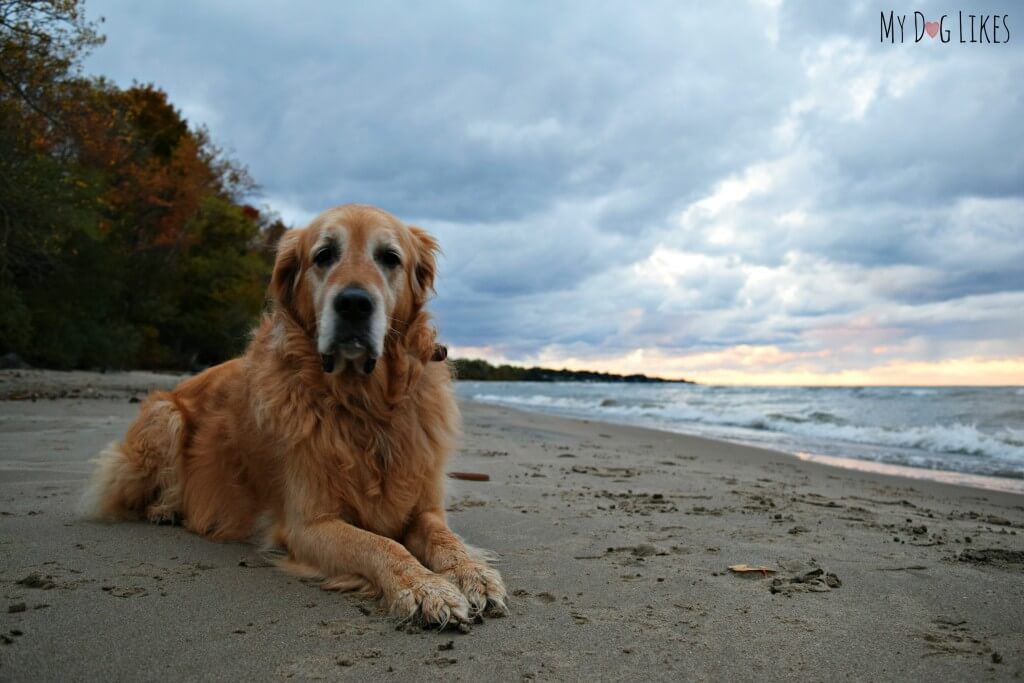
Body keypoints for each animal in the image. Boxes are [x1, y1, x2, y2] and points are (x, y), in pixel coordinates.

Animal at [81, 205, 505, 626]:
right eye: (324, 255)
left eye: (389, 257)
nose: (354, 304)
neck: (363, 404)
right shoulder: (309, 524)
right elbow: (381, 545)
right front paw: (424, 587)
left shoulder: (424, 507)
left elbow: (446, 539)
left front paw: (472, 574)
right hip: (164, 415)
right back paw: (166, 508)